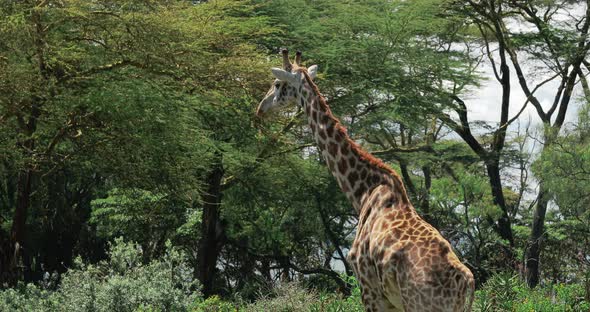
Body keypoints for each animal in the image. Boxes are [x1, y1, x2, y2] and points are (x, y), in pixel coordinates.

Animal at [256, 50, 478, 310]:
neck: (363, 191)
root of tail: (467, 284)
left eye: (277, 84)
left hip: (419, 305)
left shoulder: (368, 286)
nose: (260, 108)